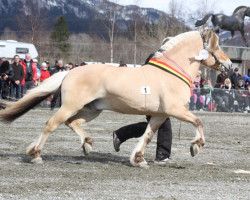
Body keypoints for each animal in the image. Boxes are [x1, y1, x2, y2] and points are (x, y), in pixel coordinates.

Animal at [0, 28, 232, 168]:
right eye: (217, 46)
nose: (229, 64)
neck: (170, 73)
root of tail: (70, 71)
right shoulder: (175, 110)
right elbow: (198, 121)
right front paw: (195, 147)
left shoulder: (160, 115)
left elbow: (148, 135)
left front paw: (139, 160)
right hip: (71, 105)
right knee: (52, 123)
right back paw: (37, 155)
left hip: (92, 109)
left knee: (71, 122)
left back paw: (86, 144)